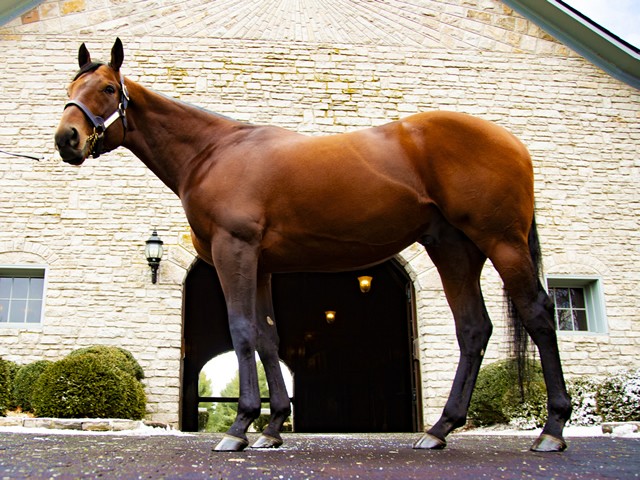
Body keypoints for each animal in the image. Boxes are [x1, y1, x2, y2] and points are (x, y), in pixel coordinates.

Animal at [53, 39, 568, 452]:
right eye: (71, 87)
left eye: (107, 89)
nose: (66, 139)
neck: (213, 152)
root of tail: (512, 142)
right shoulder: (260, 263)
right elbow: (267, 336)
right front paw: (272, 427)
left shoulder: (233, 251)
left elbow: (242, 329)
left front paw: (240, 428)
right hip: (454, 250)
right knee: (473, 329)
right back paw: (440, 429)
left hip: (501, 243)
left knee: (538, 315)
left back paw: (551, 430)